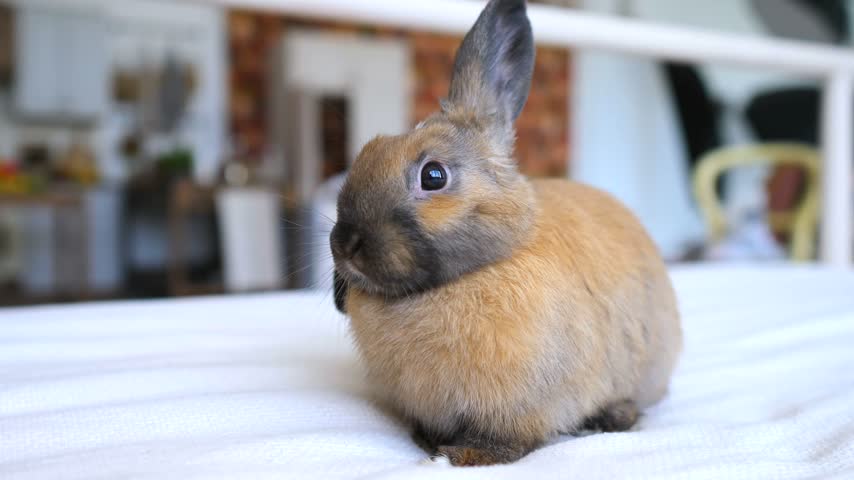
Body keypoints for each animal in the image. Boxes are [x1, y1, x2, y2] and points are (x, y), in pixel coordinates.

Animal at [329, 0, 682, 467]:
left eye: (433, 175)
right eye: (366, 152)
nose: (344, 245)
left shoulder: (525, 409)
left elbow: (510, 442)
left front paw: (462, 456)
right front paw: (428, 441)